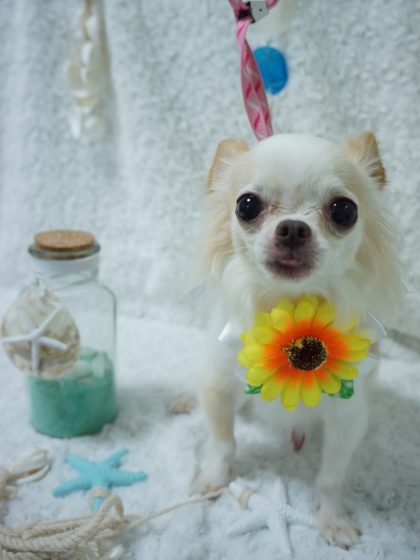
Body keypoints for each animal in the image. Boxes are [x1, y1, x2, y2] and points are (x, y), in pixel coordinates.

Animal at [195, 132, 401, 548]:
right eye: (247, 205)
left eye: (343, 211)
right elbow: (223, 442)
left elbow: (331, 476)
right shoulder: (218, 385)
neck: (288, 305)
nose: (292, 228)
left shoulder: (348, 415)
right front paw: (214, 478)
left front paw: (332, 519)